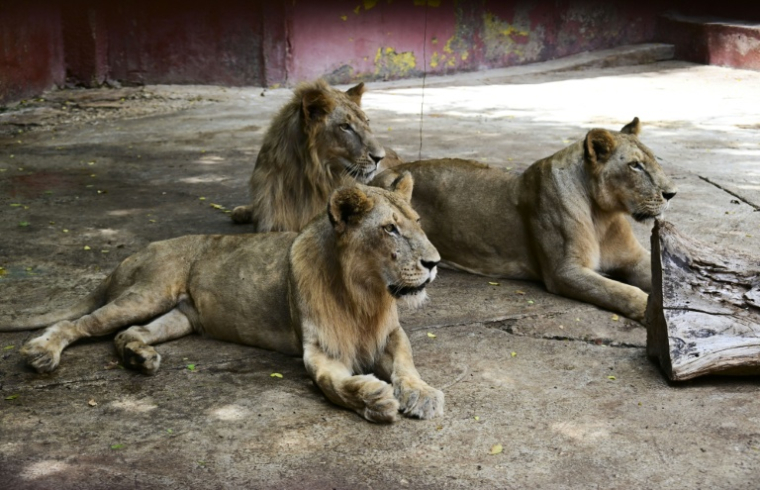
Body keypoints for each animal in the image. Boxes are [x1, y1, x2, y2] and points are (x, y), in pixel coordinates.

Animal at [2, 175, 444, 423]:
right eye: (390, 229)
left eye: (418, 223)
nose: (435, 262)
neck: (364, 296)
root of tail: (130, 256)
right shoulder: (318, 349)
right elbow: (331, 383)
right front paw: (373, 398)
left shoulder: (391, 334)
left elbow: (406, 363)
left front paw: (421, 394)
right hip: (148, 292)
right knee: (78, 323)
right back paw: (41, 353)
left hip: (179, 316)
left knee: (128, 332)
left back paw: (139, 357)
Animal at [371, 118, 677, 322]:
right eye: (635, 165)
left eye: (653, 160)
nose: (671, 193)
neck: (603, 214)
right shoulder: (564, 272)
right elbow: (622, 291)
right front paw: (650, 312)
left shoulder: (633, 258)